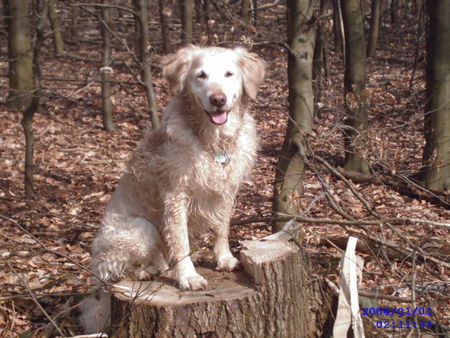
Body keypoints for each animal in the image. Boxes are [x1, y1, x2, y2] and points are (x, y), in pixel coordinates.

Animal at [80, 45, 264, 332]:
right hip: (138, 229)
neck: (213, 143)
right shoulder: (175, 195)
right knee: (120, 271)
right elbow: (179, 240)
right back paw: (149, 271)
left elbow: (221, 228)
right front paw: (188, 276)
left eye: (229, 74)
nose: (218, 99)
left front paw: (224, 258)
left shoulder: (226, 191)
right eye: (201, 75)